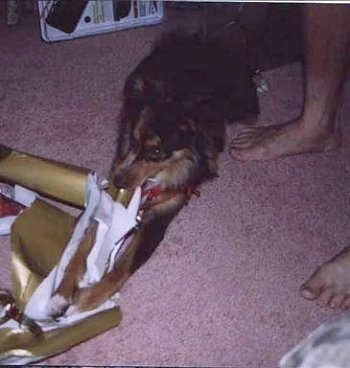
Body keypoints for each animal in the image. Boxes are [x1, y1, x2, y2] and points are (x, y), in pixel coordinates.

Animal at [48, 31, 260, 314]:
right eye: (134, 142)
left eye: (157, 152)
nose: (118, 181)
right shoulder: (112, 199)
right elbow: (83, 245)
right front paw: (60, 294)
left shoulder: (161, 216)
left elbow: (123, 268)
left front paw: (87, 300)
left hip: (240, 103)